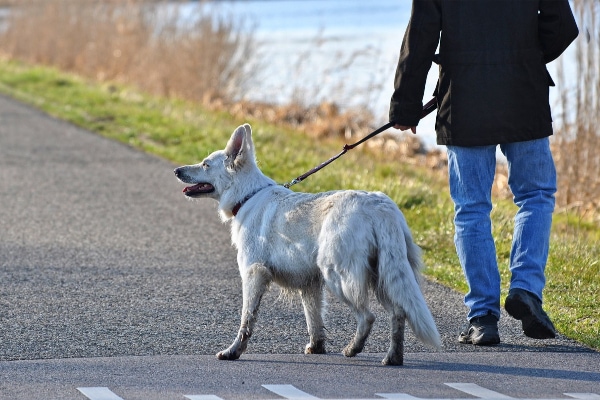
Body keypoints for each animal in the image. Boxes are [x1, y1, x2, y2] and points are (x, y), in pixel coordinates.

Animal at [173, 123, 440, 364]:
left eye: (205, 164)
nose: (176, 170)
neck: (247, 195)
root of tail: (379, 206)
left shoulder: (253, 274)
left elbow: (246, 319)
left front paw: (233, 351)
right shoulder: (310, 284)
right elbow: (314, 320)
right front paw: (317, 348)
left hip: (339, 277)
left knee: (368, 317)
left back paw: (353, 349)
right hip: (383, 277)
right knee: (398, 313)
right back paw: (393, 357)